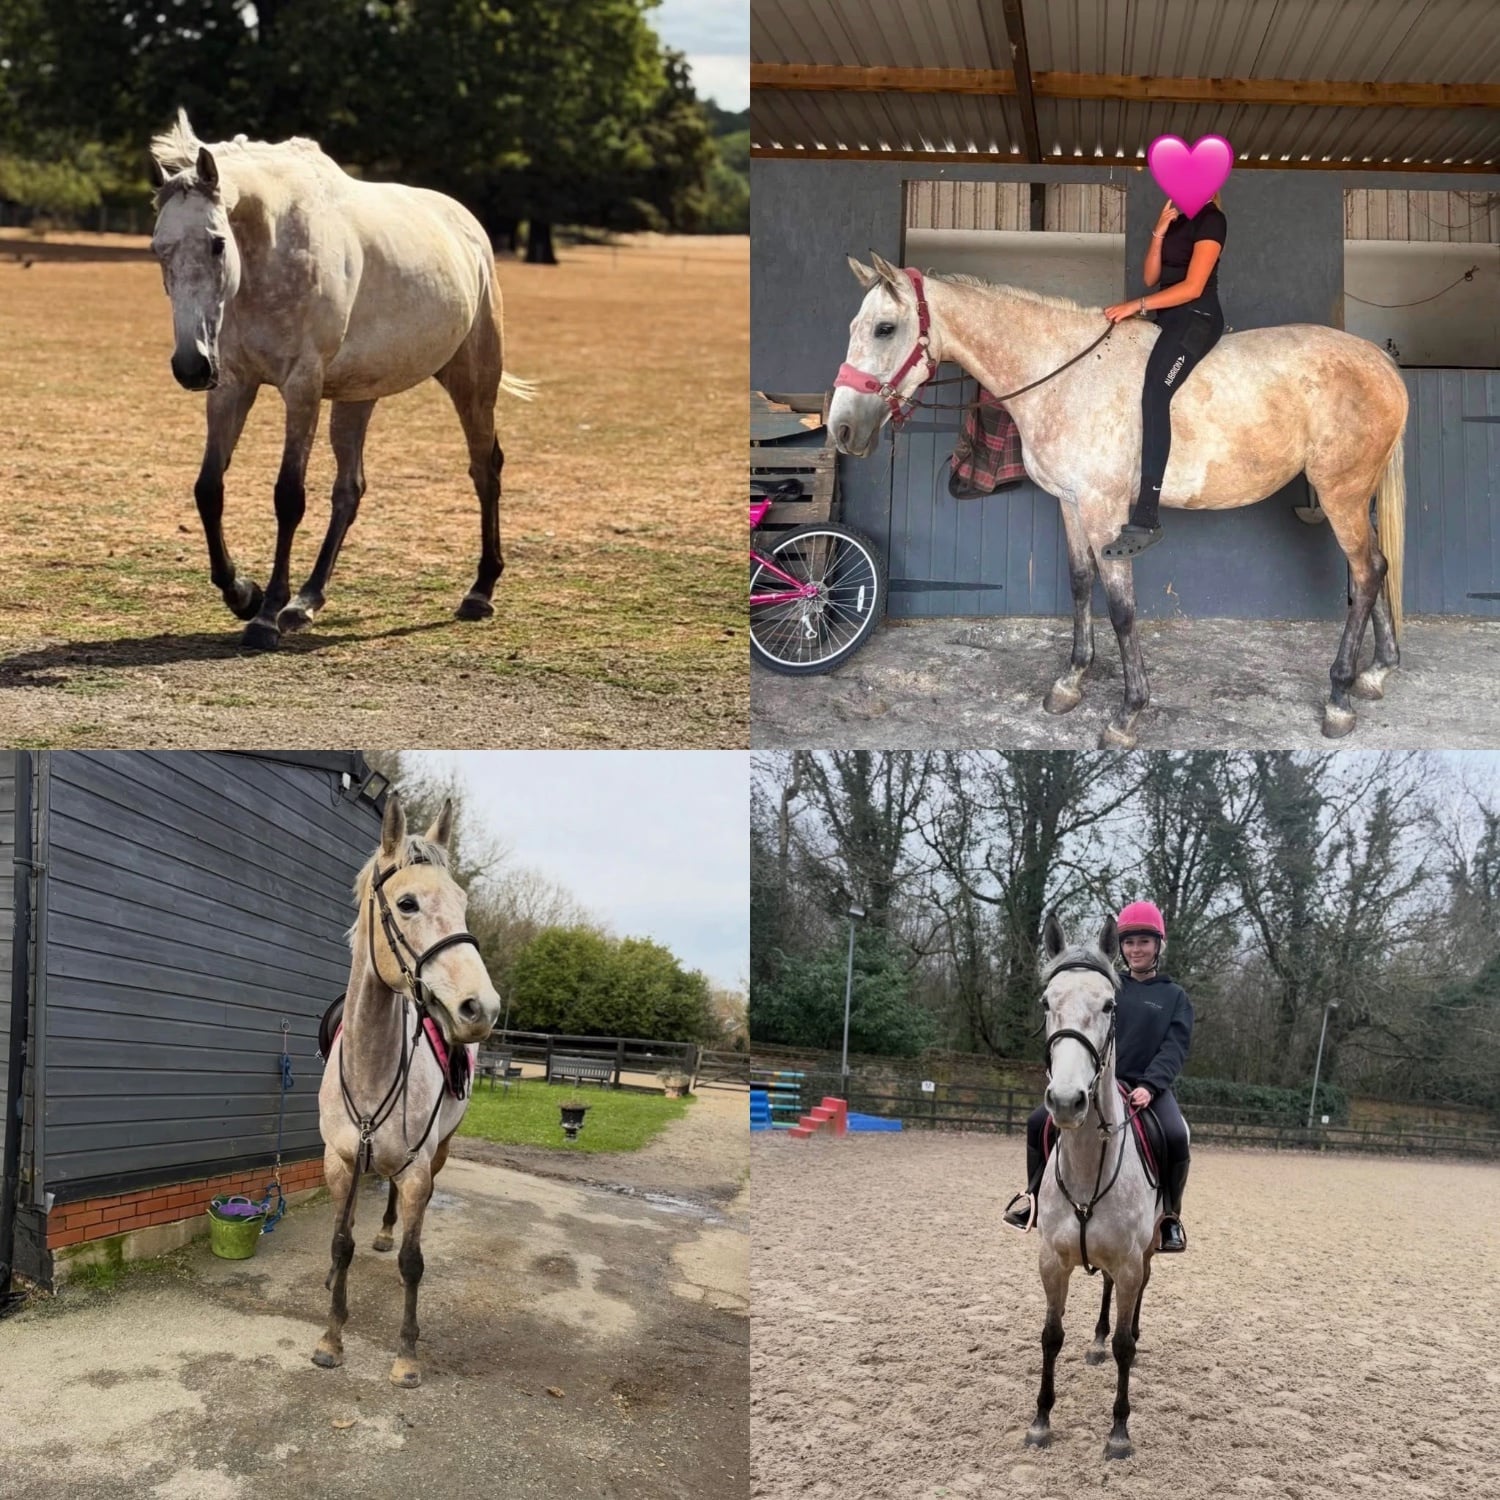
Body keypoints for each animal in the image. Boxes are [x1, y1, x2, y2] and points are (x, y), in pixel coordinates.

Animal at [147, 110, 536, 651]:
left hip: (472, 381)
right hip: (357, 397)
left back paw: (479, 591)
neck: (272, 250)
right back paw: (306, 600)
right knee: (349, 490)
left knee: (485, 469)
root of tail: (469, 229)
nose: (191, 365)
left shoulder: (302, 387)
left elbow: (288, 497)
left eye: (217, 242)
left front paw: (264, 614)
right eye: (157, 249)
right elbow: (209, 489)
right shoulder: (232, 385)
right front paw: (242, 594)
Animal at [314, 791, 500, 1387]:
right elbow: (340, 1243)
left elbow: (413, 1263)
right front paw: (331, 1337)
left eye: (462, 901)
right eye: (408, 903)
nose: (480, 1009)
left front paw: (407, 1355)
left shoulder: (418, 1170)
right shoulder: (340, 1162)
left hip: (437, 1154)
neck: (372, 1066)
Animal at [829, 252, 1408, 747]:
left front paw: (1127, 714)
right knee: (1376, 567)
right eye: (854, 328)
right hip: (1357, 496)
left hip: (1341, 494)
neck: (1065, 375)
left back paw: (1339, 697)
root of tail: (1379, 362)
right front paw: (1070, 682)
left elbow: (1122, 610)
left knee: (1363, 574)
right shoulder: (1070, 503)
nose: (841, 430)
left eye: (885, 328)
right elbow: (1081, 584)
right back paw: (1376, 673)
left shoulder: (1105, 512)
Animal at [1026, 911, 1168, 1460]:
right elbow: (1050, 1334)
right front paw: (1041, 1421)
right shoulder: (1052, 1260)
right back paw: (1096, 1341)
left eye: (1109, 1005)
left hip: (1147, 1249)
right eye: (1047, 1001)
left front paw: (1119, 1433)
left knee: (1139, 1293)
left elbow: (1126, 1345)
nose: (1067, 1101)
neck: (1089, 1165)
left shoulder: (1129, 1260)